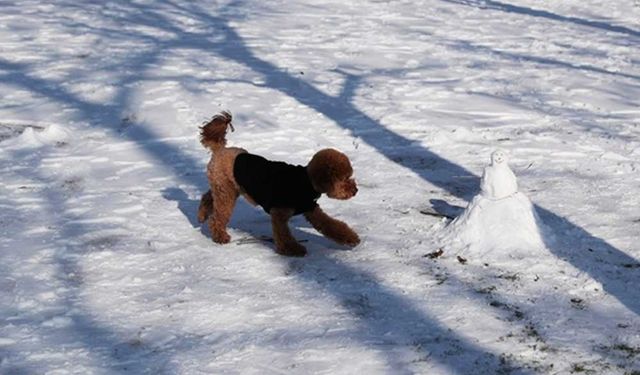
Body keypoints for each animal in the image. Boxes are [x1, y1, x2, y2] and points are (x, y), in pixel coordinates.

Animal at [196, 111, 360, 258]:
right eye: (344, 179)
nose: (355, 190)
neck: (306, 182)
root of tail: (220, 149)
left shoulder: (311, 209)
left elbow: (331, 225)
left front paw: (351, 238)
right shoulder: (279, 213)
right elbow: (283, 234)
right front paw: (293, 249)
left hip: (226, 187)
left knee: (208, 197)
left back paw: (202, 215)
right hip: (226, 192)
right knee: (218, 216)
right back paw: (220, 236)